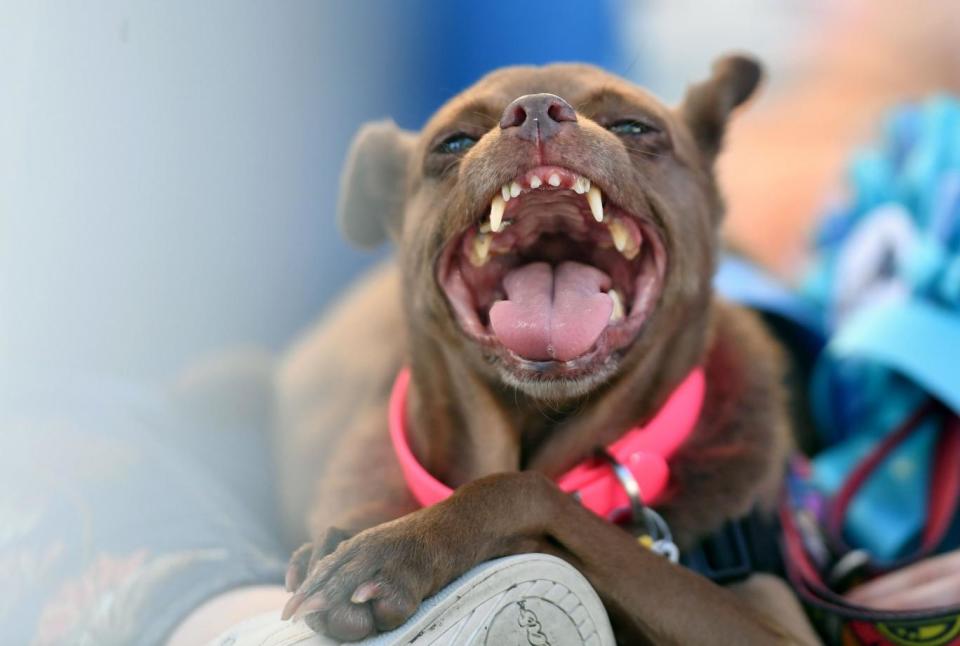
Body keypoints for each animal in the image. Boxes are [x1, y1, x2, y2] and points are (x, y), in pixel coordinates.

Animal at [276, 57, 804, 646]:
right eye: (453, 142)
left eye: (634, 127)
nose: (534, 112)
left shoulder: (777, 631)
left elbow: (521, 492)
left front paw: (389, 551)